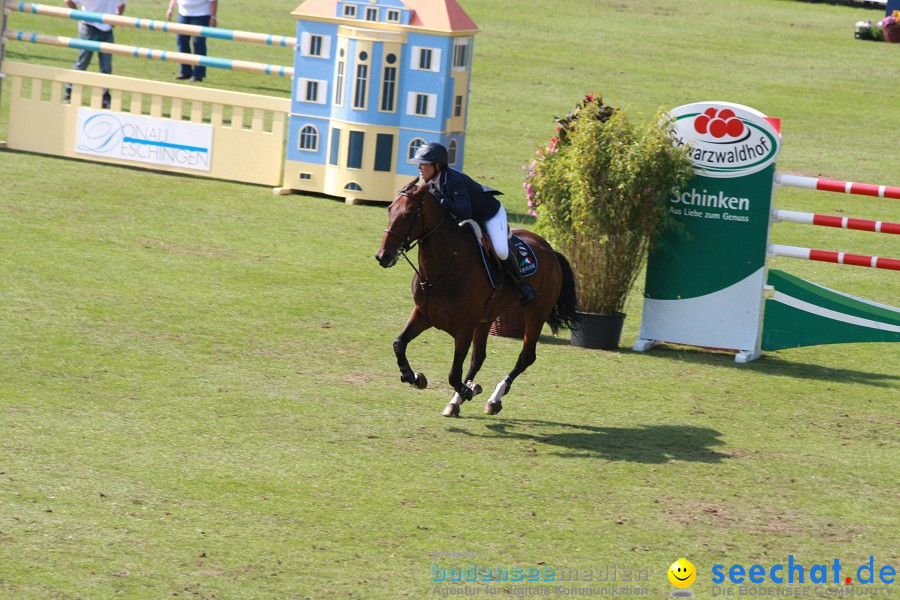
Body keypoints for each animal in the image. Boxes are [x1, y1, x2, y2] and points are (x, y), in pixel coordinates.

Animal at [372, 178, 576, 418]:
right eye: (390, 209)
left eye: (410, 214)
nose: (383, 256)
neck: (442, 270)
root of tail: (550, 250)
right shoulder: (424, 314)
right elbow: (399, 344)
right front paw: (414, 377)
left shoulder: (464, 329)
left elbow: (453, 373)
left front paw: (468, 390)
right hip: (487, 318)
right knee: (479, 358)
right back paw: (457, 401)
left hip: (536, 312)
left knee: (526, 356)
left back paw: (494, 398)